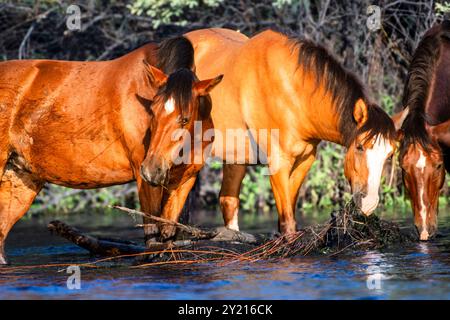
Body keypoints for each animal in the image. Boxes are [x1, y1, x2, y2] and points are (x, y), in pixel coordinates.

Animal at [0, 36, 223, 264]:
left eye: (185, 119)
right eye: (152, 111)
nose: (152, 169)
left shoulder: (183, 181)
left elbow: (168, 237)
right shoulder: (144, 181)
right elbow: (152, 242)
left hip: (20, 179)